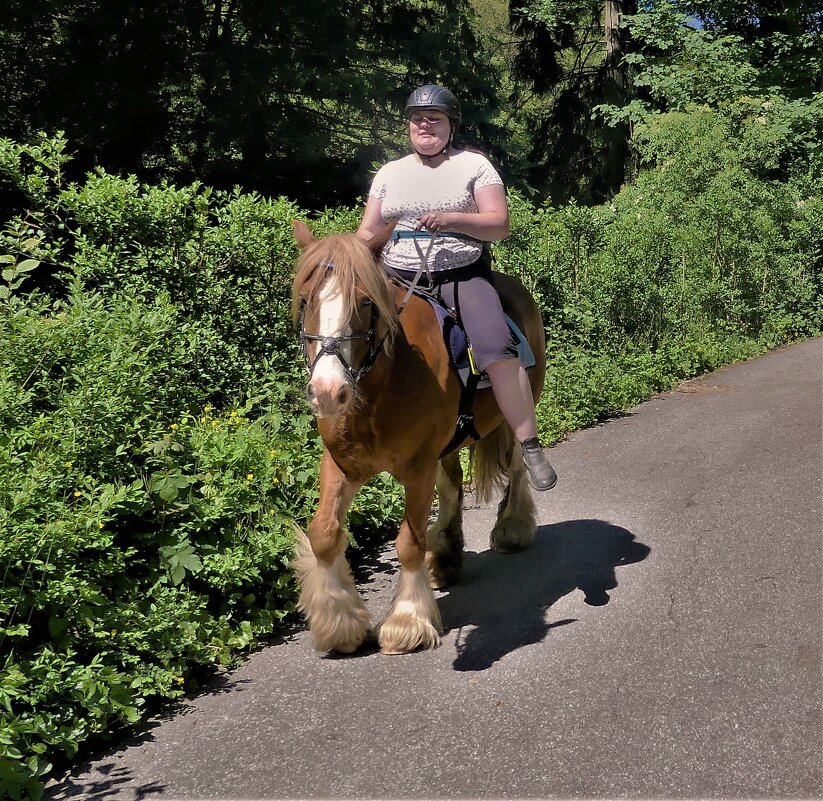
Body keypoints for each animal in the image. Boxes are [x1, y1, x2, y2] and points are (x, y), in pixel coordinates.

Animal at [290, 216, 548, 652]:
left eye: (365, 303)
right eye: (307, 300)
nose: (328, 392)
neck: (381, 386)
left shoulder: (417, 470)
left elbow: (409, 543)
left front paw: (406, 622)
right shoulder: (342, 464)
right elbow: (323, 534)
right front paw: (339, 623)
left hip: (516, 410)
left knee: (516, 465)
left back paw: (512, 527)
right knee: (453, 484)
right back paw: (445, 556)